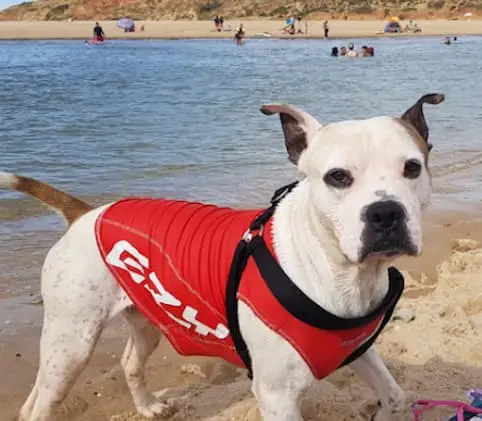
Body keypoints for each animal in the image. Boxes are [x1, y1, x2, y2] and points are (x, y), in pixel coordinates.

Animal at [0, 92, 444, 420]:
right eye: (338, 177)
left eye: (412, 167)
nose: (385, 213)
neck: (342, 276)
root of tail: (85, 213)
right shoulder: (278, 396)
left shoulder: (358, 351)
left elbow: (395, 396)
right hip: (70, 342)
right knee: (39, 402)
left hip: (143, 322)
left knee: (128, 362)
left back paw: (147, 406)